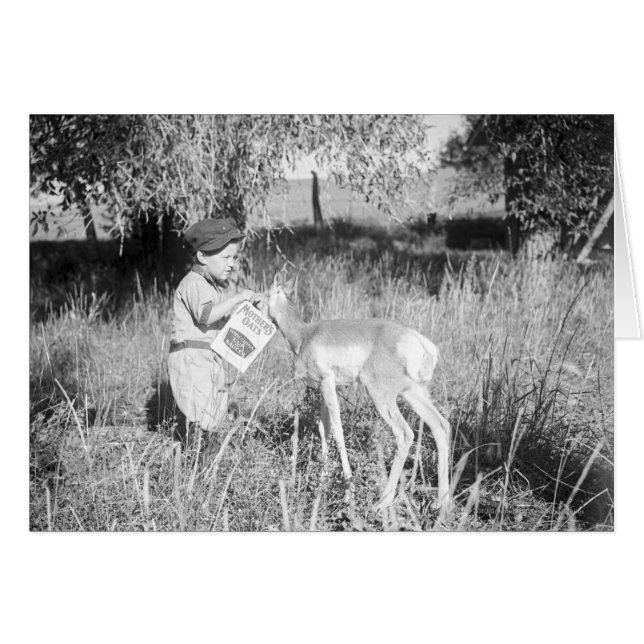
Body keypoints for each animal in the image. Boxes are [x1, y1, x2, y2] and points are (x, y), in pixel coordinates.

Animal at [266, 274, 451, 518]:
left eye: (264, 295)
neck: (304, 334)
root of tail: (417, 340)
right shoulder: (324, 389)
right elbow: (324, 428)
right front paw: (322, 481)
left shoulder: (327, 383)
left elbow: (338, 431)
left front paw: (348, 491)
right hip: (413, 393)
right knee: (441, 426)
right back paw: (443, 503)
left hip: (381, 396)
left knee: (404, 434)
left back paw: (382, 502)